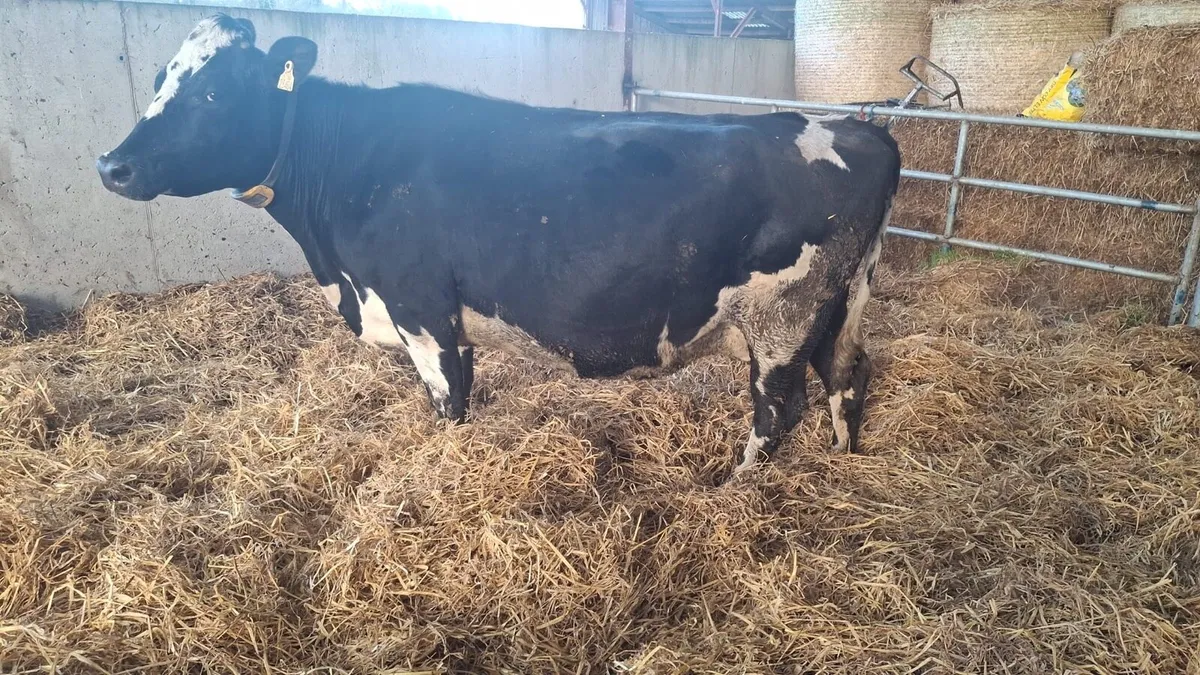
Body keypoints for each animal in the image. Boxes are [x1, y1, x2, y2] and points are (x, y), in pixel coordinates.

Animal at [97, 14, 901, 477]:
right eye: (162, 77)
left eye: (212, 93)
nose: (112, 164)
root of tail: (857, 129)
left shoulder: (423, 309)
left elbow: (449, 407)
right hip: (840, 304)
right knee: (848, 374)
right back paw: (845, 461)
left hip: (782, 316)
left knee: (777, 412)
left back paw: (732, 488)